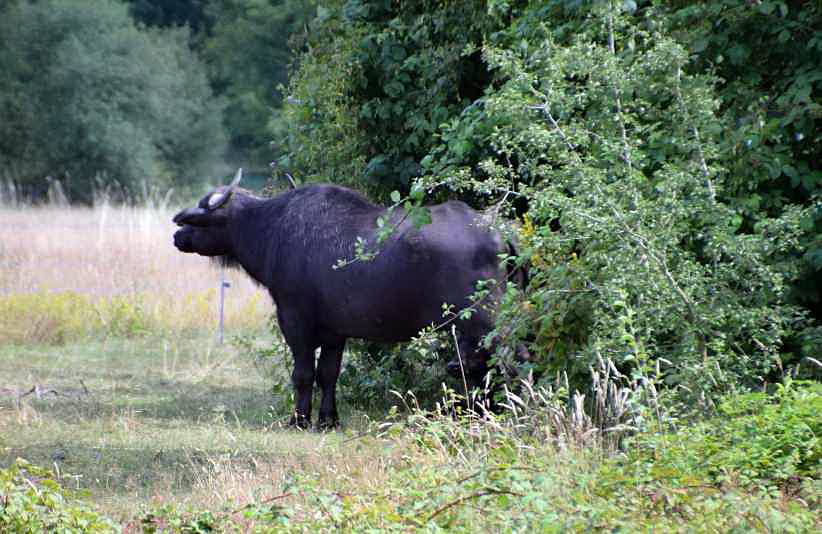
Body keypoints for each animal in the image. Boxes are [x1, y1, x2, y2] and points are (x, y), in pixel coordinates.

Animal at [174, 172, 520, 432]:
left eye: (203, 217)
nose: (177, 236)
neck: (271, 229)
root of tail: (499, 233)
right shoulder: (334, 332)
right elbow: (329, 373)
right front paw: (328, 420)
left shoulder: (295, 319)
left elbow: (303, 373)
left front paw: (299, 419)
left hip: (487, 320)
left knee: (510, 360)